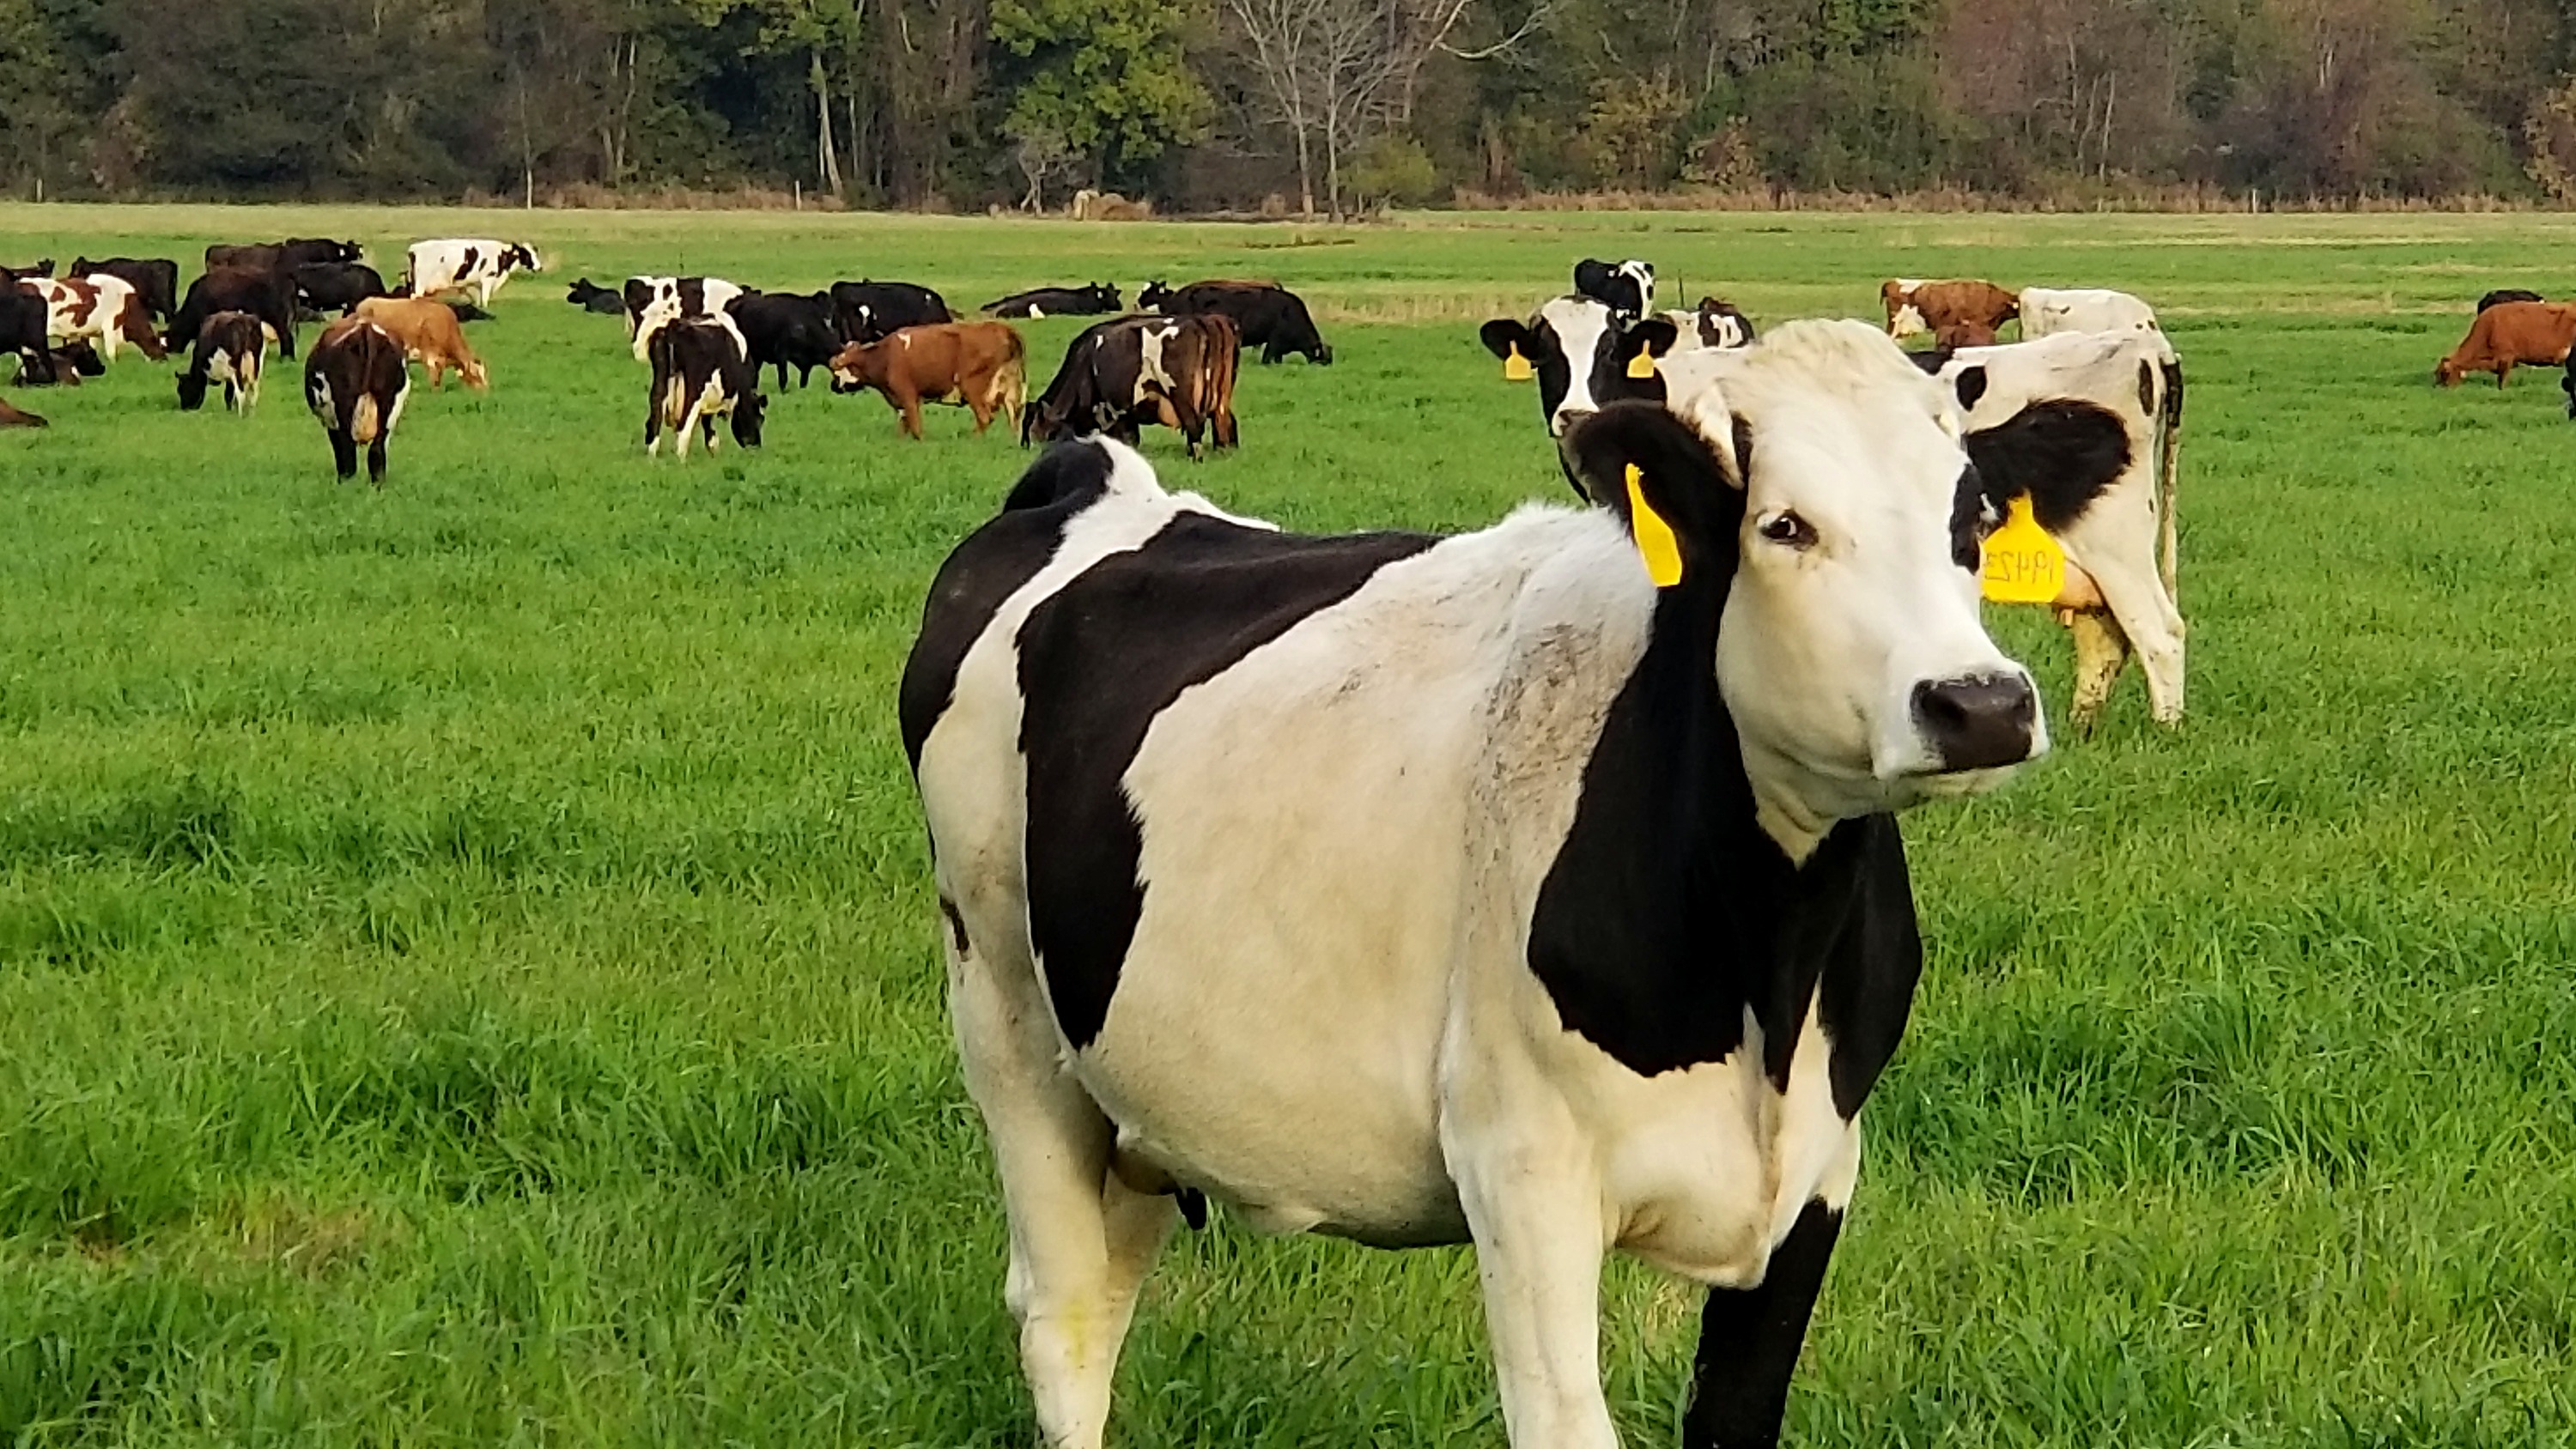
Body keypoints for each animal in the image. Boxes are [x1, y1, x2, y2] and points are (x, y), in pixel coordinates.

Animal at [168, 268, 300, 359]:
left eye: (174, 332)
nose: (173, 351)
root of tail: (288, 279)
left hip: (278, 320)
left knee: (286, 336)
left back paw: (286, 358)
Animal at [405, 239, 543, 307]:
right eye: (527, 255)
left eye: (535, 253)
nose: (540, 268)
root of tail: (414, 248)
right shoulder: (488, 278)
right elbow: (485, 299)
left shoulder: (476, 283)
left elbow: (478, 299)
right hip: (421, 283)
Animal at [645, 318, 766, 458]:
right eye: (760, 419)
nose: (756, 446)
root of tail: (675, 326)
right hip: (695, 389)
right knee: (684, 427)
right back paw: (681, 458)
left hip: (661, 381)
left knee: (655, 416)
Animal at [828, 320, 1028, 439]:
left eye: (836, 372)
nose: (833, 387)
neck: (884, 357)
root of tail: (1003, 328)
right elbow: (904, 425)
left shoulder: (907, 395)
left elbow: (915, 425)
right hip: (1010, 389)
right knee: (1014, 417)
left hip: (972, 387)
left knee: (985, 417)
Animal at [1022, 313, 1241, 458]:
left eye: (1036, 431)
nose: (1026, 448)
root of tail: (1202, 320)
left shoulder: (1114, 410)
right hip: (1221, 400)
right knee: (1225, 424)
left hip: (1181, 394)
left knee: (1194, 427)